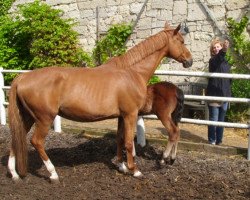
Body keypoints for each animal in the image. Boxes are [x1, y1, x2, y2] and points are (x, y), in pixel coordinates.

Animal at [7, 22, 191, 183]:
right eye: (181, 41)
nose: (190, 60)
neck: (131, 72)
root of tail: (22, 77)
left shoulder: (121, 116)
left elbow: (119, 139)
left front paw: (122, 166)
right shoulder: (131, 114)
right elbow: (128, 142)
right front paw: (134, 170)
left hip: (27, 118)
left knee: (17, 138)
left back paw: (14, 174)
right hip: (44, 119)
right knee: (36, 142)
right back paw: (53, 174)